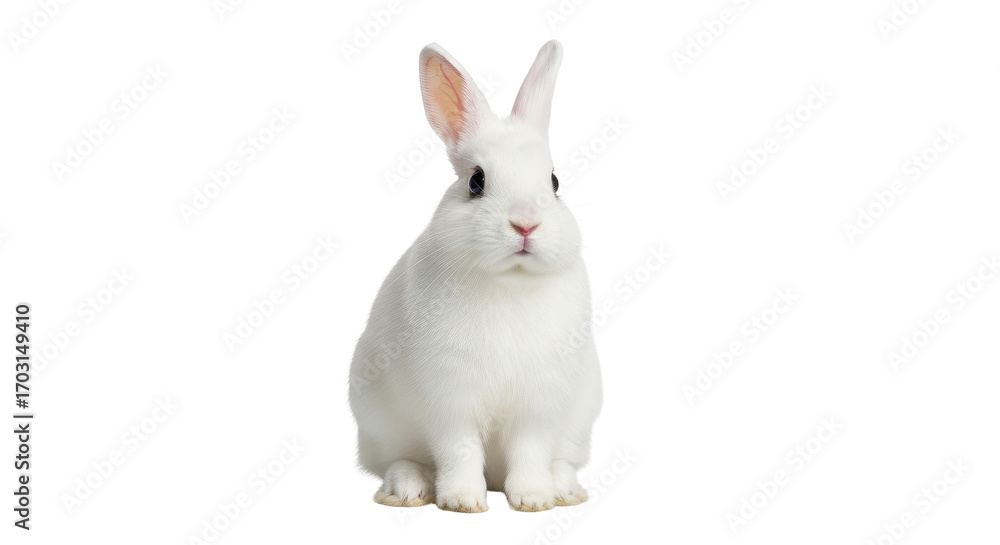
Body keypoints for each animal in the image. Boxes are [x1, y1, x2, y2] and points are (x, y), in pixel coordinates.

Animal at [348, 40, 602, 513]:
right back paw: (408, 489)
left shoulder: (537, 407)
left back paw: (564, 489)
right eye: (476, 181)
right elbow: (458, 450)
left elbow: (530, 451)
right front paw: (463, 500)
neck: (510, 281)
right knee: (398, 459)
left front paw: (533, 499)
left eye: (555, 182)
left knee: (560, 459)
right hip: (377, 423)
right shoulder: (451, 400)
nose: (525, 224)